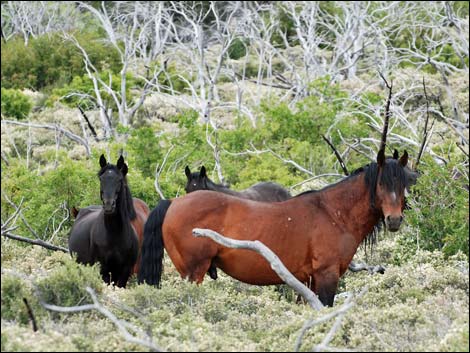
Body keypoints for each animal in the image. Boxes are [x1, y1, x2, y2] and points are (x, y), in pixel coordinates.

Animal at [67, 154, 149, 286]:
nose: (109, 205)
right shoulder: (104, 269)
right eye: (101, 179)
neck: (114, 234)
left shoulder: (125, 271)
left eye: (119, 180)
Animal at [140, 148, 412, 306]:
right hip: (192, 273)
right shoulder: (327, 276)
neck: (333, 212)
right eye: (381, 183)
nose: (394, 219)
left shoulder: (310, 281)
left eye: (404, 182)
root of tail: (173, 202)